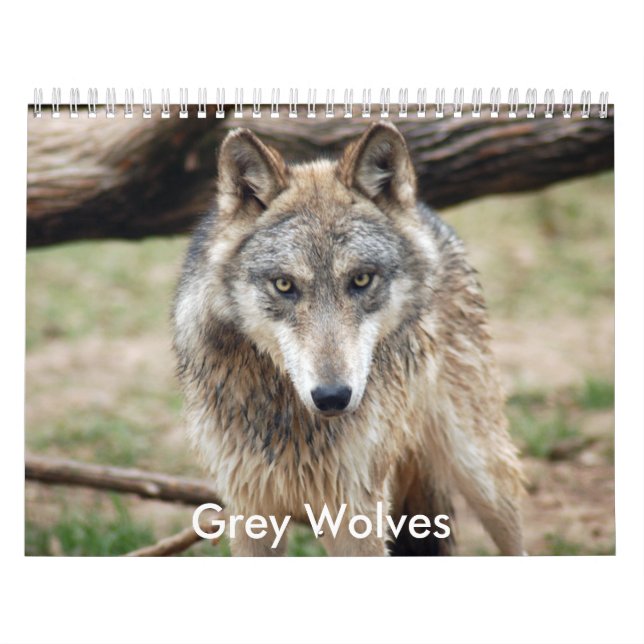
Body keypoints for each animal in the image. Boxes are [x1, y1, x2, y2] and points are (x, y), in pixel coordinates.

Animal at [172, 121, 525, 556]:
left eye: (360, 280)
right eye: (284, 285)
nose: (332, 397)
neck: (287, 414)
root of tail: (425, 214)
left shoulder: (355, 512)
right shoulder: (252, 509)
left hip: (480, 471)